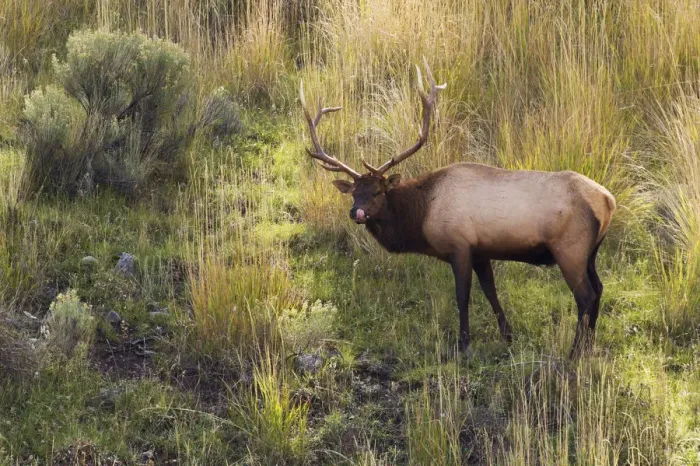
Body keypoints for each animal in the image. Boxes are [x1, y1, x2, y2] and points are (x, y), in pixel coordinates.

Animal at [299, 60, 616, 358]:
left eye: (377, 192)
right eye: (354, 193)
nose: (357, 212)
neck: (422, 217)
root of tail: (607, 200)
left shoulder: (459, 245)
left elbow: (462, 296)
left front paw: (464, 344)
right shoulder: (482, 250)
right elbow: (491, 292)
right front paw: (508, 336)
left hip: (570, 248)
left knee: (585, 296)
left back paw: (575, 352)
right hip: (591, 251)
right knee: (599, 289)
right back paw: (590, 345)